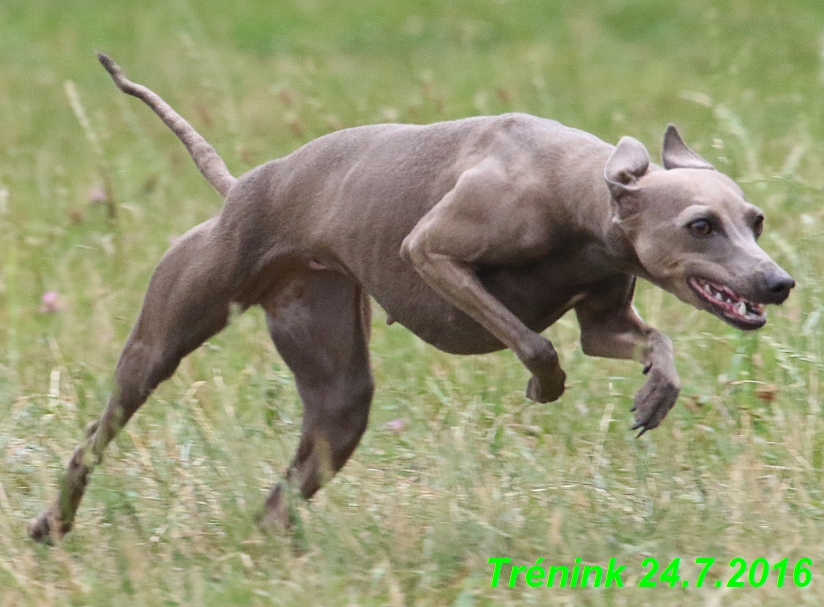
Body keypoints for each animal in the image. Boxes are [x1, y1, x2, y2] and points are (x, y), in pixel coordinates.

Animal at [29, 54, 796, 544]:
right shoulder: (429, 252)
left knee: (284, 493)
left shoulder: (606, 318)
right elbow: (535, 340)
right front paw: (544, 385)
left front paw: (656, 391)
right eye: (700, 225)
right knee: (98, 435)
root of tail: (241, 185)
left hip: (339, 394)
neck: (583, 193)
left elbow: (643, 340)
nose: (778, 284)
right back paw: (52, 522)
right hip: (162, 341)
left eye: (754, 219)